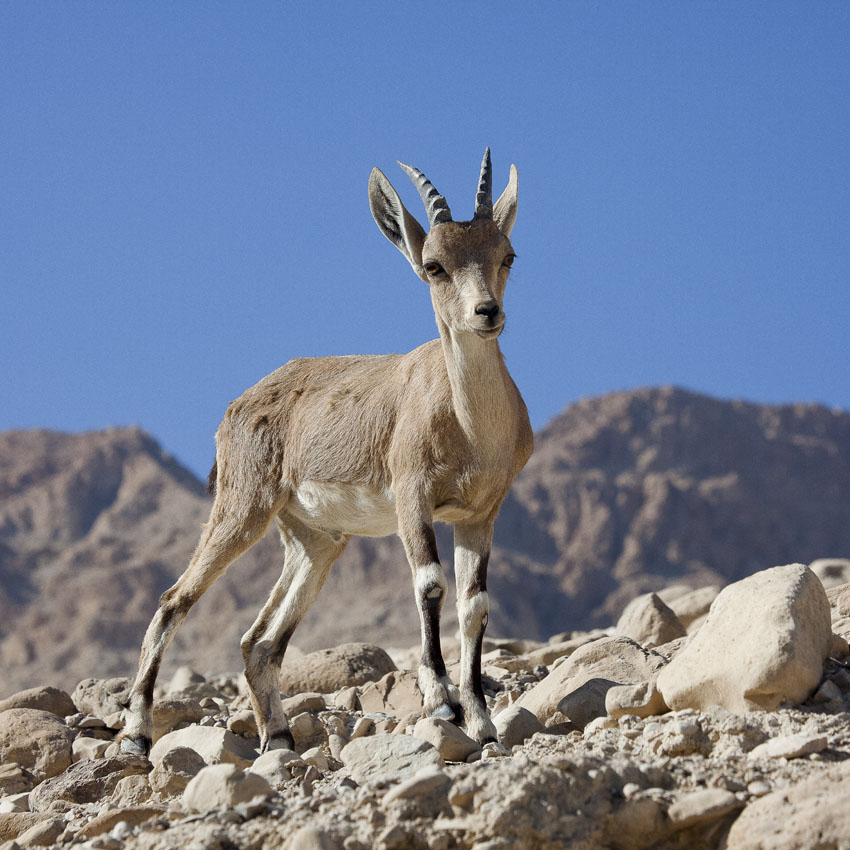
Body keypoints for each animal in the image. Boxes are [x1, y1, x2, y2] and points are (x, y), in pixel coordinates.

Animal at [119, 149, 533, 755]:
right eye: (434, 265)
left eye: (507, 255)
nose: (487, 312)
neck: (470, 428)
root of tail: (236, 406)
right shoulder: (413, 498)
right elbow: (430, 583)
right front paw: (443, 703)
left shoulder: (479, 515)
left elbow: (474, 605)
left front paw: (482, 721)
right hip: (242, 507)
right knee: (175, 600)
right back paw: (136, 735)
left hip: (316, 541)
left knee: (259, 640)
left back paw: (278, 738)